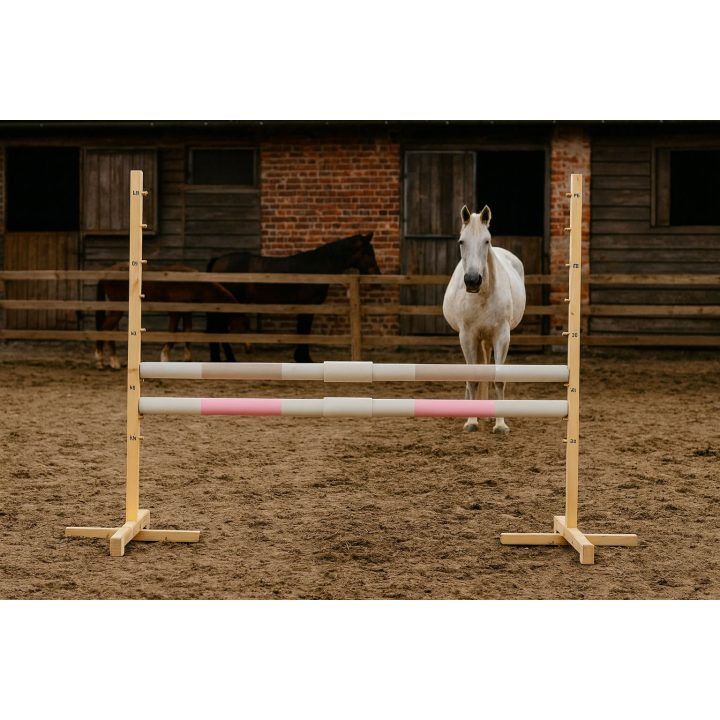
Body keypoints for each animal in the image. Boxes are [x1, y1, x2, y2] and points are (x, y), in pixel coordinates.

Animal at [94, 263, 242, 369]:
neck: (194, 283)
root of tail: (106, 273)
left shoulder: (186, 312)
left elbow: (188, 332)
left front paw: (187, 358)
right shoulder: (175, 311)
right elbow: (172, 333)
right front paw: (164, 357)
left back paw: (107, 360)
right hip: (118, 308)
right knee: (105, 328)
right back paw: (108, 361)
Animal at [206, 232, 380, 363]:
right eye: (367, 252)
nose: (377, 276)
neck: (316, 268)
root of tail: (218, 261)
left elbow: (302, 331)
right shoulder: (308, 306)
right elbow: (304, 331)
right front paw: (304, 358)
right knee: (219, 329)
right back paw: (229, 359)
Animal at [442, 205, 526, 434]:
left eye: (486, 241)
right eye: (461, 241)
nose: (472, 280)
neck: (482, 295)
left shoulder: (501, 336)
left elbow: (498, 379)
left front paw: (500, 424)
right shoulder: (468, 336)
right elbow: (472, 379)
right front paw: (471, 421)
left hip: (487, 339)